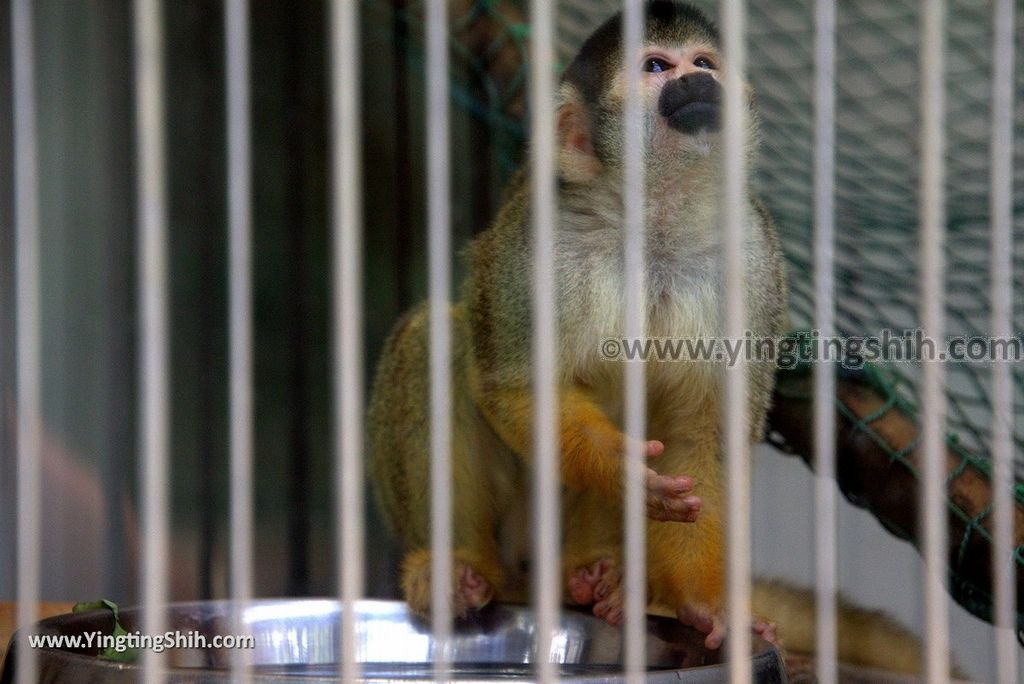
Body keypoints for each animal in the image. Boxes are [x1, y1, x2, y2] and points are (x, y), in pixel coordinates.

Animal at [372, 0, 786, 651]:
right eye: (656, 67)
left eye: (703, 62)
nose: (698, 82)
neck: (654, 224)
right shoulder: (539, 240)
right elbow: (515, 386)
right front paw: (619, 468)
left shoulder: (754, 258)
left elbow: (705, 432)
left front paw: (706, 602)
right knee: (436, 338)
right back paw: (456, 568)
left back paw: (600, 578)